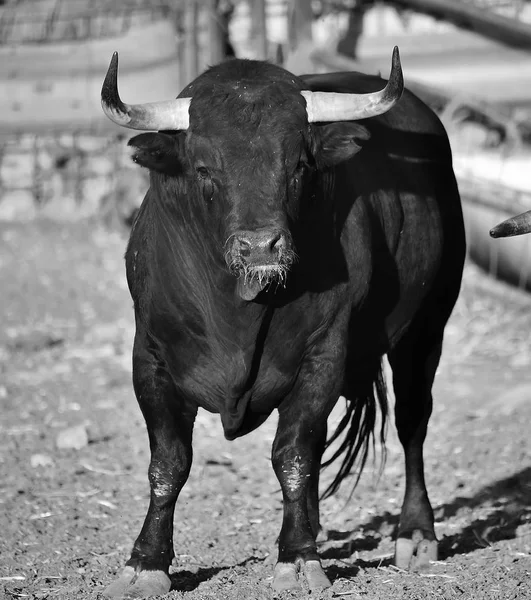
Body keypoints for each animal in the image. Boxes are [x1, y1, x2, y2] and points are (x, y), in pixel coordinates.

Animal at [98, 45, 466, 596]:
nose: (261, 247)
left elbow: (291, 455)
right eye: (204, 168)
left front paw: (297, 558)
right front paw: (146, 563)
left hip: (427, 329)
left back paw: (416, 535)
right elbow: (168, 463)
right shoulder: (151, 356)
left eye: (297, 165)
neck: (239, 311)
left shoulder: (324, 354)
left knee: (412, 425)